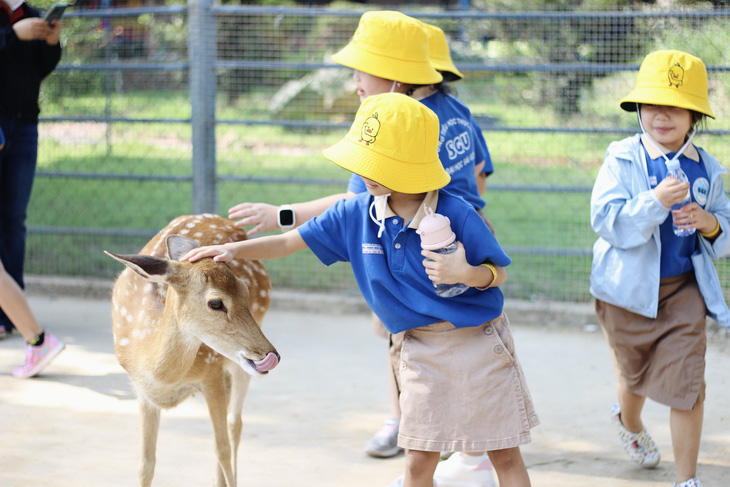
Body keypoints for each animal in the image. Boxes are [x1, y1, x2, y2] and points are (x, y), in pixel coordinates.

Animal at [105, 214, 278, 487]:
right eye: (215, 302)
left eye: (245, 290)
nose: (271, 355)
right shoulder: (142, 391)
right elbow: (145, 465)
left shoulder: (211, 374)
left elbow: (222, 449)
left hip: (238, 363)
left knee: (234, 424)